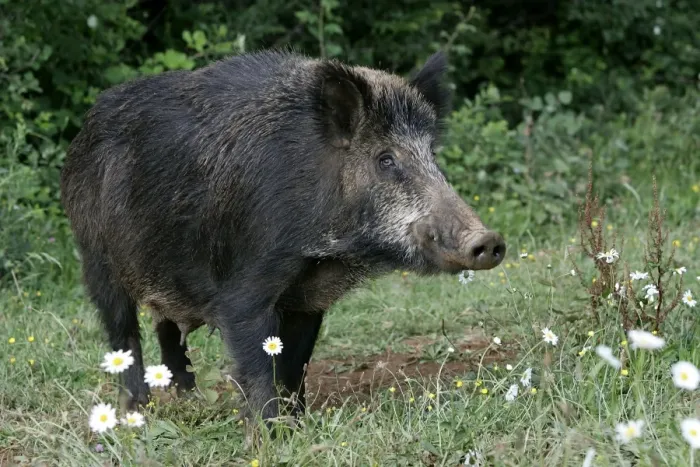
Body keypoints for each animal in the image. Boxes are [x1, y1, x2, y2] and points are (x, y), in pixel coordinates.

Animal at [60, 49, 505, 421]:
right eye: (385, 159)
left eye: (433, 155)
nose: (488, 240)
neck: (325, 251)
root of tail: (83, 133)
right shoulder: (244, 289)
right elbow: (258, 367)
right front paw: (270, 432)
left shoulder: (309, 298)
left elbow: (295, 365)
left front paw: (299, 423)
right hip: (95, 256)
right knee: (123, 332)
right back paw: (134, 413)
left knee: (167, 328)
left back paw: (192, 402)